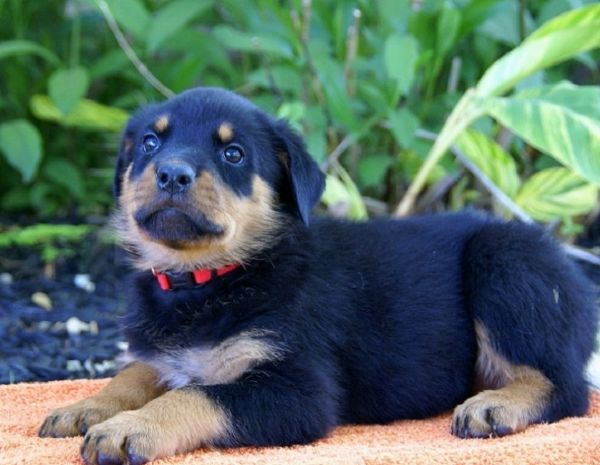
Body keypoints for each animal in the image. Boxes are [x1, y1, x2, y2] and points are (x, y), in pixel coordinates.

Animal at [39, 88, 596, 464]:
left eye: (233, 153)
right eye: (151, 142)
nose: (172, 174)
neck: (208, 278)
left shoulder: (299, 391)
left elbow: (194, 394)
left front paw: (129, 428)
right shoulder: (163, 355)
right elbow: (133, 373)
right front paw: (88, 407)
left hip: (504, 261)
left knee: (564, 386)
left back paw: (494, 405)